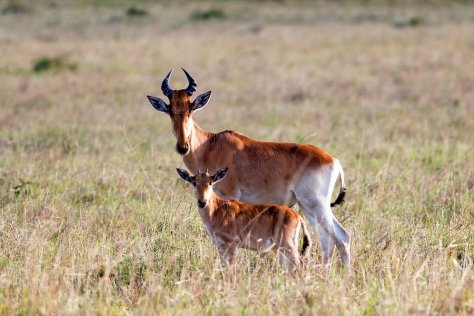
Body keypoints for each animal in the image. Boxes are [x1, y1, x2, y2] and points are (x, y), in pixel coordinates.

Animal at [177, 167, 312, 272]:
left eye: (211, 182)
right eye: (194, 182)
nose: (202, 202)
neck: (218, 208)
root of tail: (297, 216)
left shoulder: (232, 245)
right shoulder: (221, 246)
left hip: (287, 245)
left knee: (299, 265)